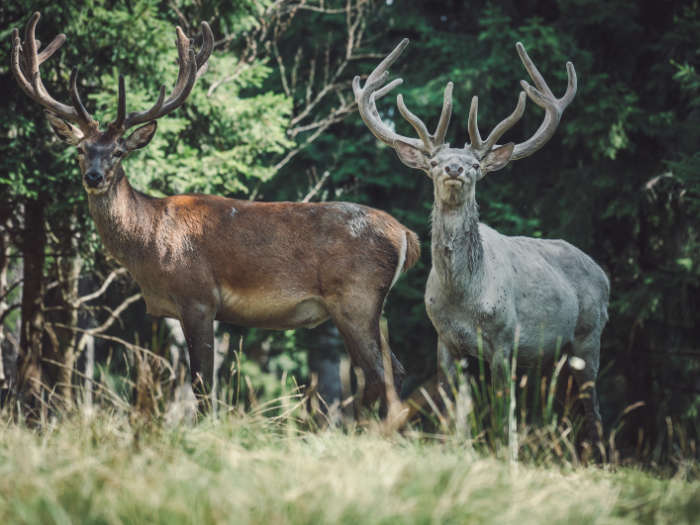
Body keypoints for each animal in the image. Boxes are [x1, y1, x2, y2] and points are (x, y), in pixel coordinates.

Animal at [12, 12, 416, 412]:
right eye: (80, 150)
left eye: (118, 152)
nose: (94, 176)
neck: (149, 241)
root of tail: (406, 236)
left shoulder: (198, 296)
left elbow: (203, 387)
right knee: (392, 372)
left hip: (356, 296)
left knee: (382, 376)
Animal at [352, 39, 608, 436]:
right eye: (434, 162)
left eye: (475, 165)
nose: (455, 167)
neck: (465, 298)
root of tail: (604, 274)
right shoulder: (445, 341)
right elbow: (455, 413)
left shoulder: (505, 339)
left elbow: (502, 415)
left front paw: (503, 446)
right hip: (554, 356)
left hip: (589, 335)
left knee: (594, 411)